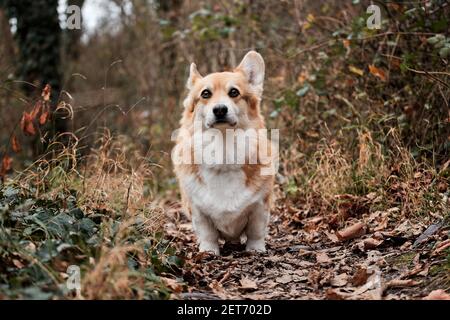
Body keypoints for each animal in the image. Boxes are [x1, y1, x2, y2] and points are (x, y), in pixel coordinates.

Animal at [173, 50, 276, 255]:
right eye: (205, 94)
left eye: (234, 92)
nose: (220, 109)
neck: (224, 147)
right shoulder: (198, 211)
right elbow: (207, 234)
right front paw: (209, 251)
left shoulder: (260, 206)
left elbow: (256, 231)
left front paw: (256, 249)